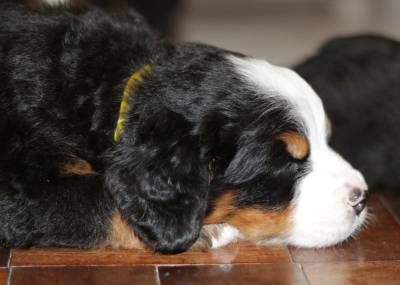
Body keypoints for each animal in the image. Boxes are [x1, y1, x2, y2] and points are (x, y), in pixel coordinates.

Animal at [0, 2, 368, 253]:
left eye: (326, 138)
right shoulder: (23, 180)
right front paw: (207, 231)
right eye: (286, 162)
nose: (362, 197)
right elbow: (95, 200)